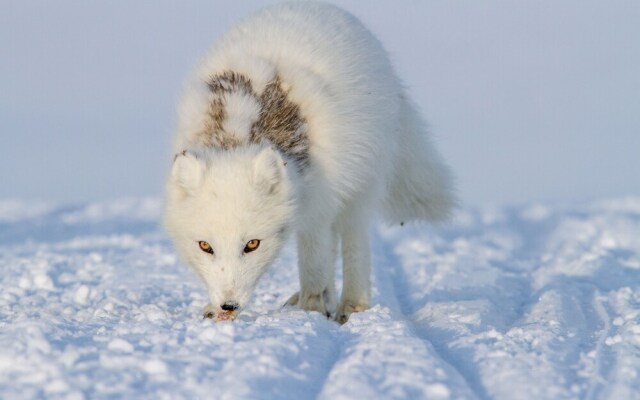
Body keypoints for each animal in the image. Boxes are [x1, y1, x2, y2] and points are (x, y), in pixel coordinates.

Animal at [164, 1, 456, 324]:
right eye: (205, 246)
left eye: (252, 244)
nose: (229, 305)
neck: (239, 131)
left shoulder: (319, 201)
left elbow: (314, 259)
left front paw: (312, 308)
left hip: (360, 186)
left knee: (352, 242)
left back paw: (351, 305)